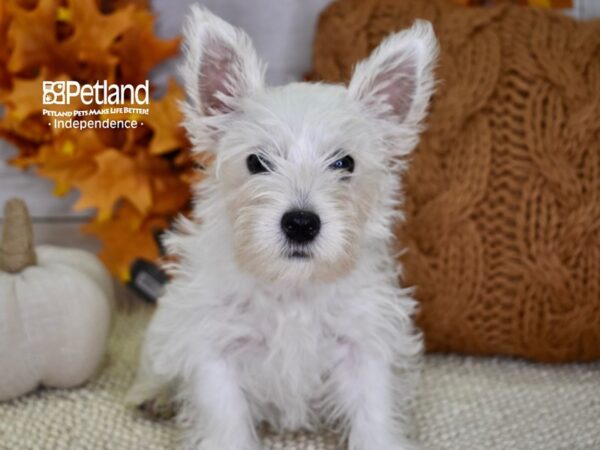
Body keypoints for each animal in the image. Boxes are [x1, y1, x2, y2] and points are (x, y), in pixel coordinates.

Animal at [126, 4, 438, 450]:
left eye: (345, 163)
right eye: (257, 162)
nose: (301, 223)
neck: (293, 287)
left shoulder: (363, 347)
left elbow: (373, 413)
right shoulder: (216, 350)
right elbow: (225, 422)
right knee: (154, 365)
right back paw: (152, 396)